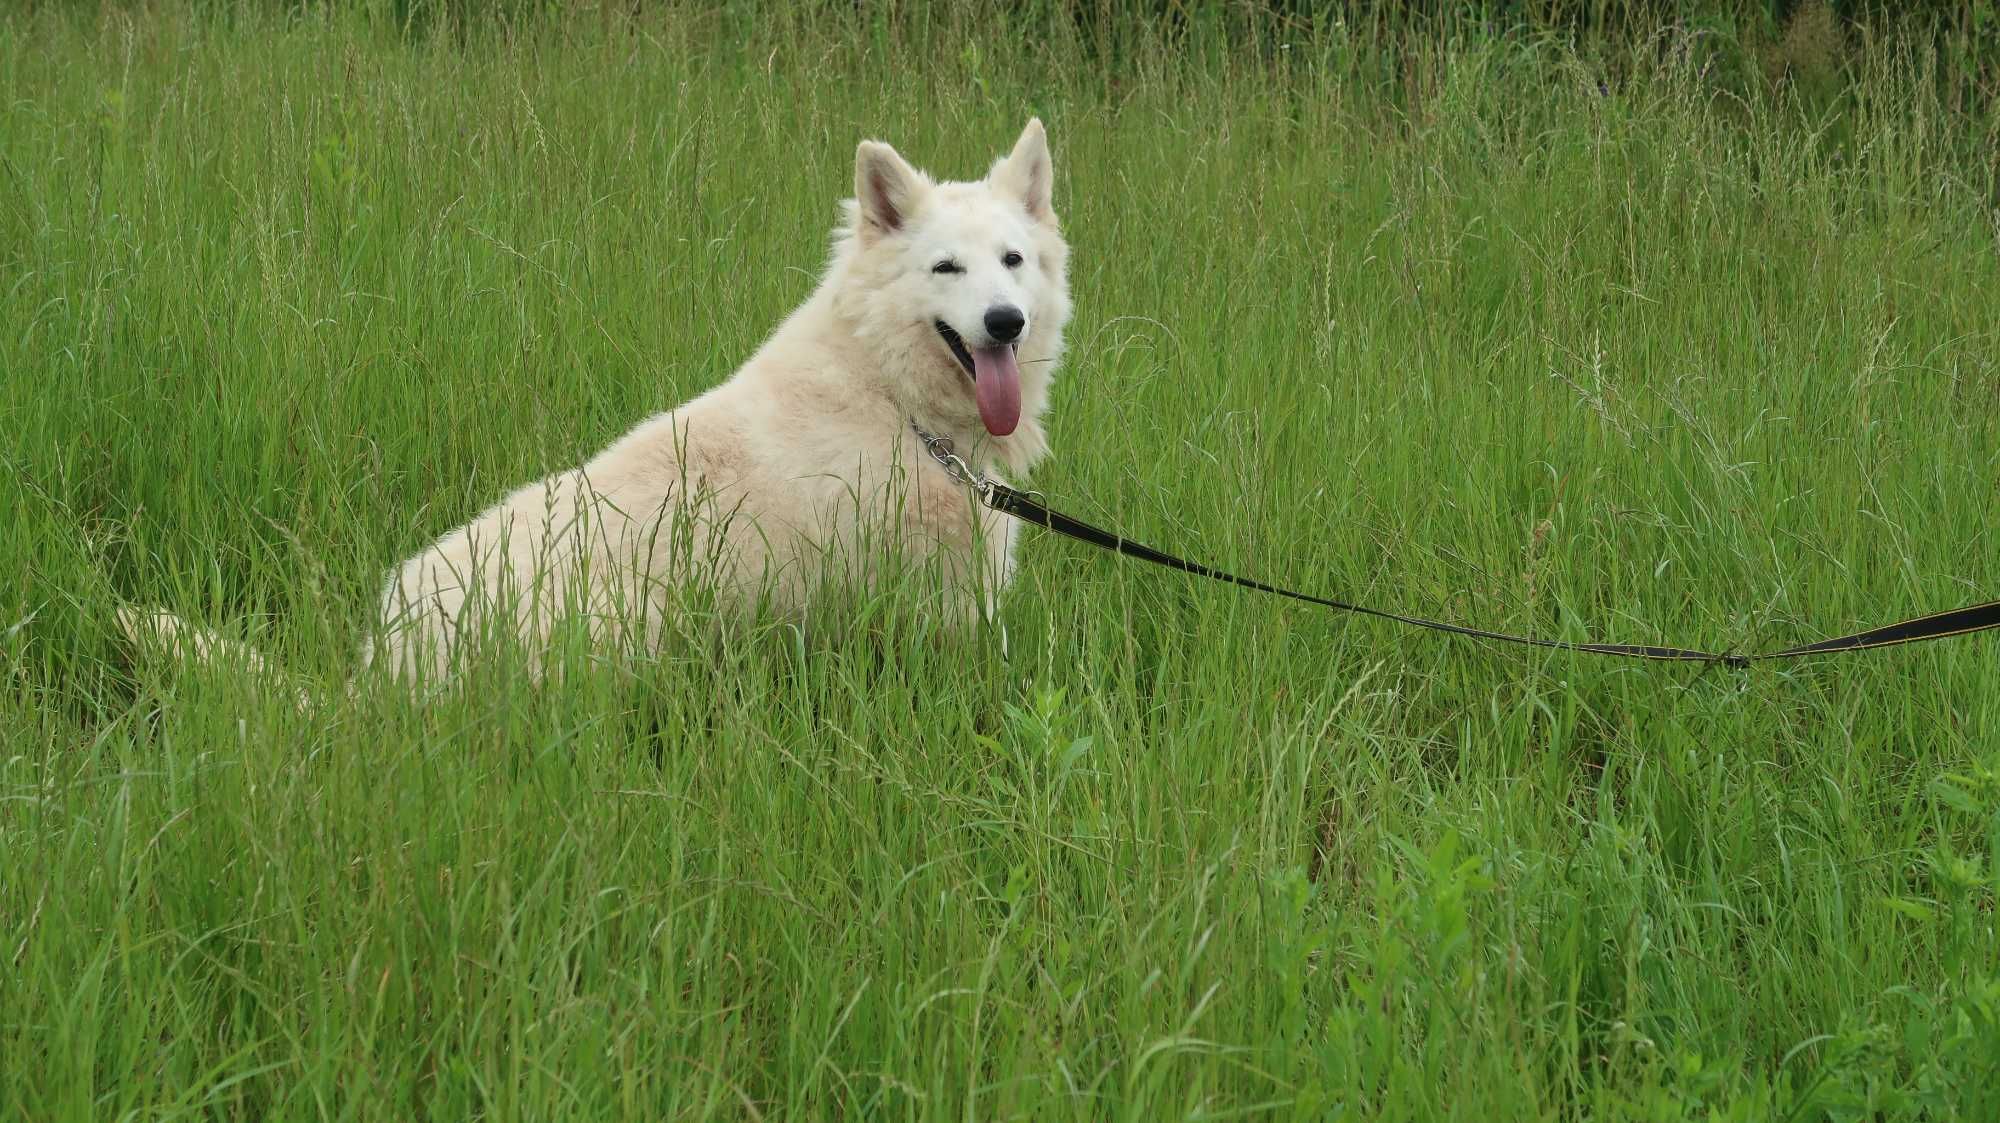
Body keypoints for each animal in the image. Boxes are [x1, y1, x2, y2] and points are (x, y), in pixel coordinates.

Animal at [125, 122, 1072, 683]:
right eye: (946, 268)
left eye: (1013, 261)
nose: (1005, 322)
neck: (890, 394)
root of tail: (379, 678)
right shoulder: (936, 615)